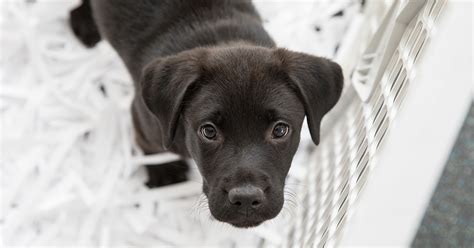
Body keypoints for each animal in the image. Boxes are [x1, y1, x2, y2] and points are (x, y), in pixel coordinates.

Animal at [70, 0, 342, 227]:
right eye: (208, 131)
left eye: (280, 129)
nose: (246, 199)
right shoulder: (144, 120)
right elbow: (150, 147)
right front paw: (165, 173)